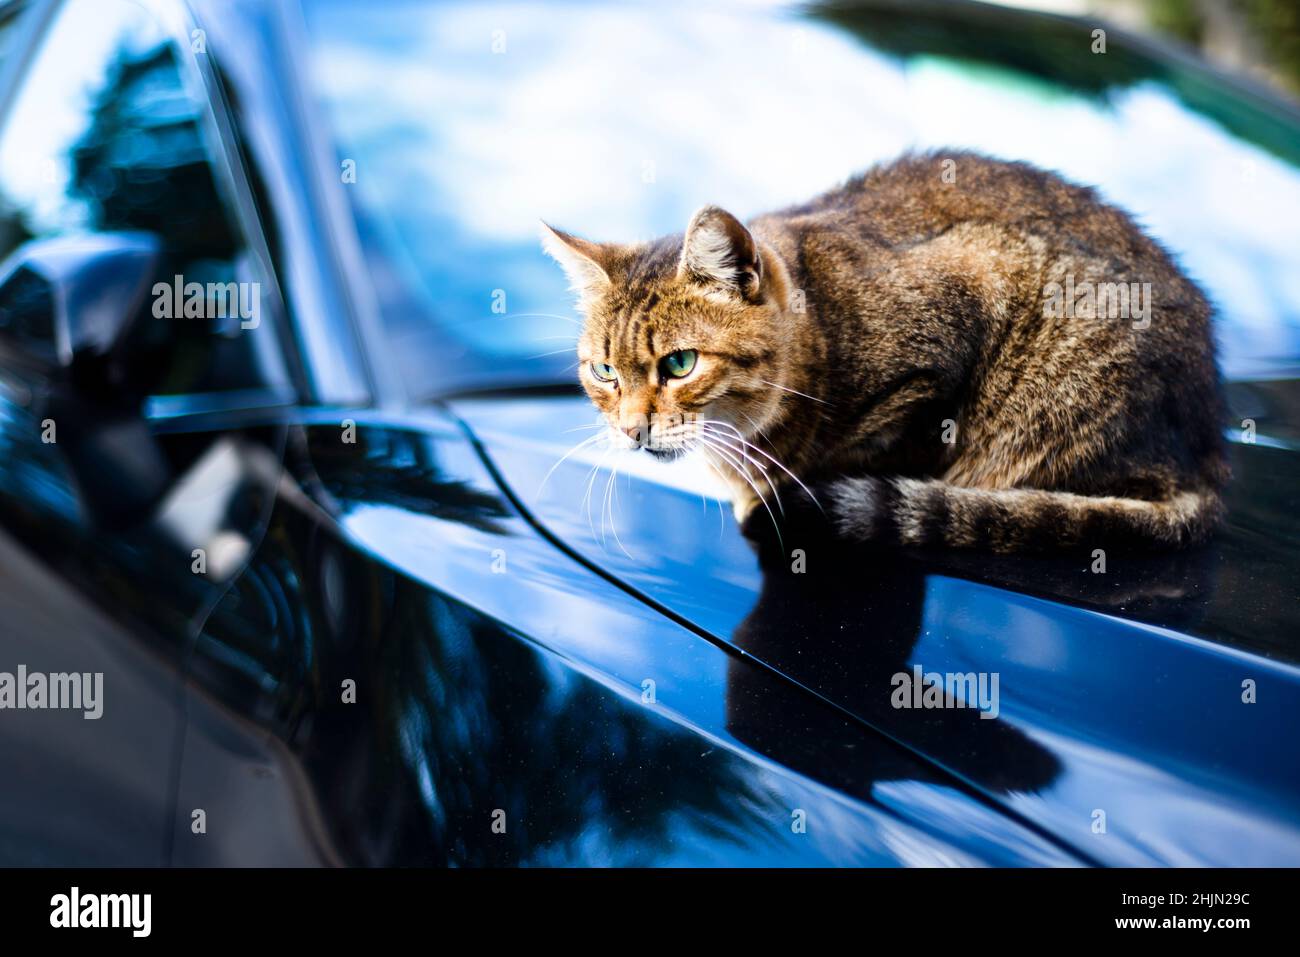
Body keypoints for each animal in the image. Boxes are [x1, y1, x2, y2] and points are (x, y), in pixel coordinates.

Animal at [540, 151, 1227, 553]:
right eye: (604, 371)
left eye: (679, 364)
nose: (631, 431)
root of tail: (1206, 451)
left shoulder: (961, 313)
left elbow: (891, 448)